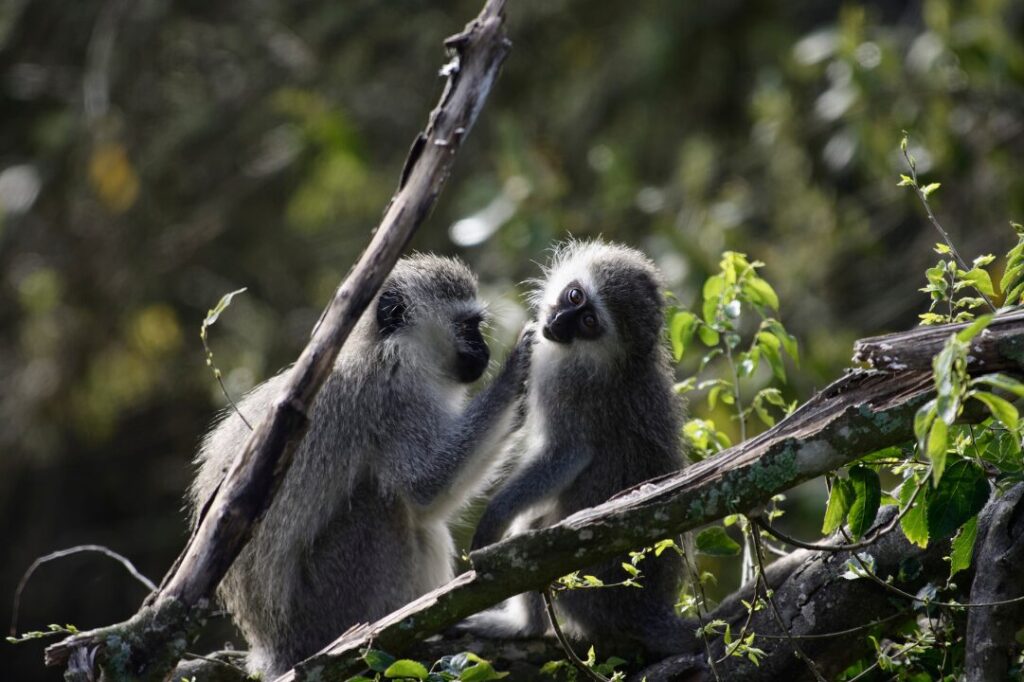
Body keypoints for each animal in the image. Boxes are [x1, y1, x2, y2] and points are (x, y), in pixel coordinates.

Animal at [187, 254, 533, 678]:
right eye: (468, 326)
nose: (484, 351)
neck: (385, 347)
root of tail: (277, 650)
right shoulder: (393, 396)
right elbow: (425, 487)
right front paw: (517, 371)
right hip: (330, 605)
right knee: (382, 505)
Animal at [464, 239, 691, 659]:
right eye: (575, 296)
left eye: (588, 323)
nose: (558, 322)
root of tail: (648, 610)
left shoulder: (568, 386)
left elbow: (569, 454)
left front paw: (493, 519)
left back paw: (524, 626)